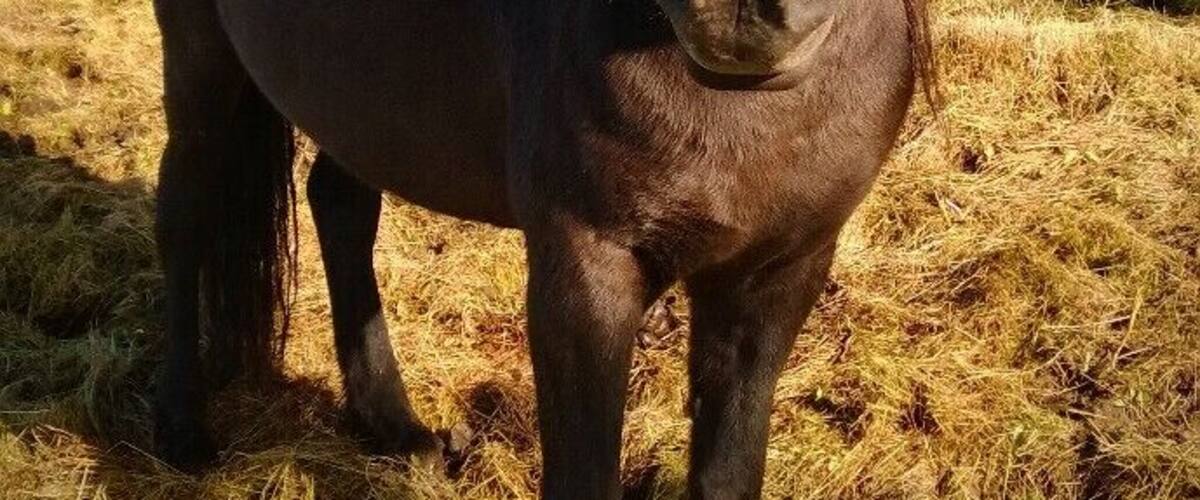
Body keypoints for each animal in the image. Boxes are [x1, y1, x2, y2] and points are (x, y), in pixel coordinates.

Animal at [151, 0, 935, 497]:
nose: (742, 12)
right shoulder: (586, 273)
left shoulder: (779, 277)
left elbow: (728, 470)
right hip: (204, 66)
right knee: (183, 213)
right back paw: (182, 431)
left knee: (341, 206)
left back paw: (394, 428)